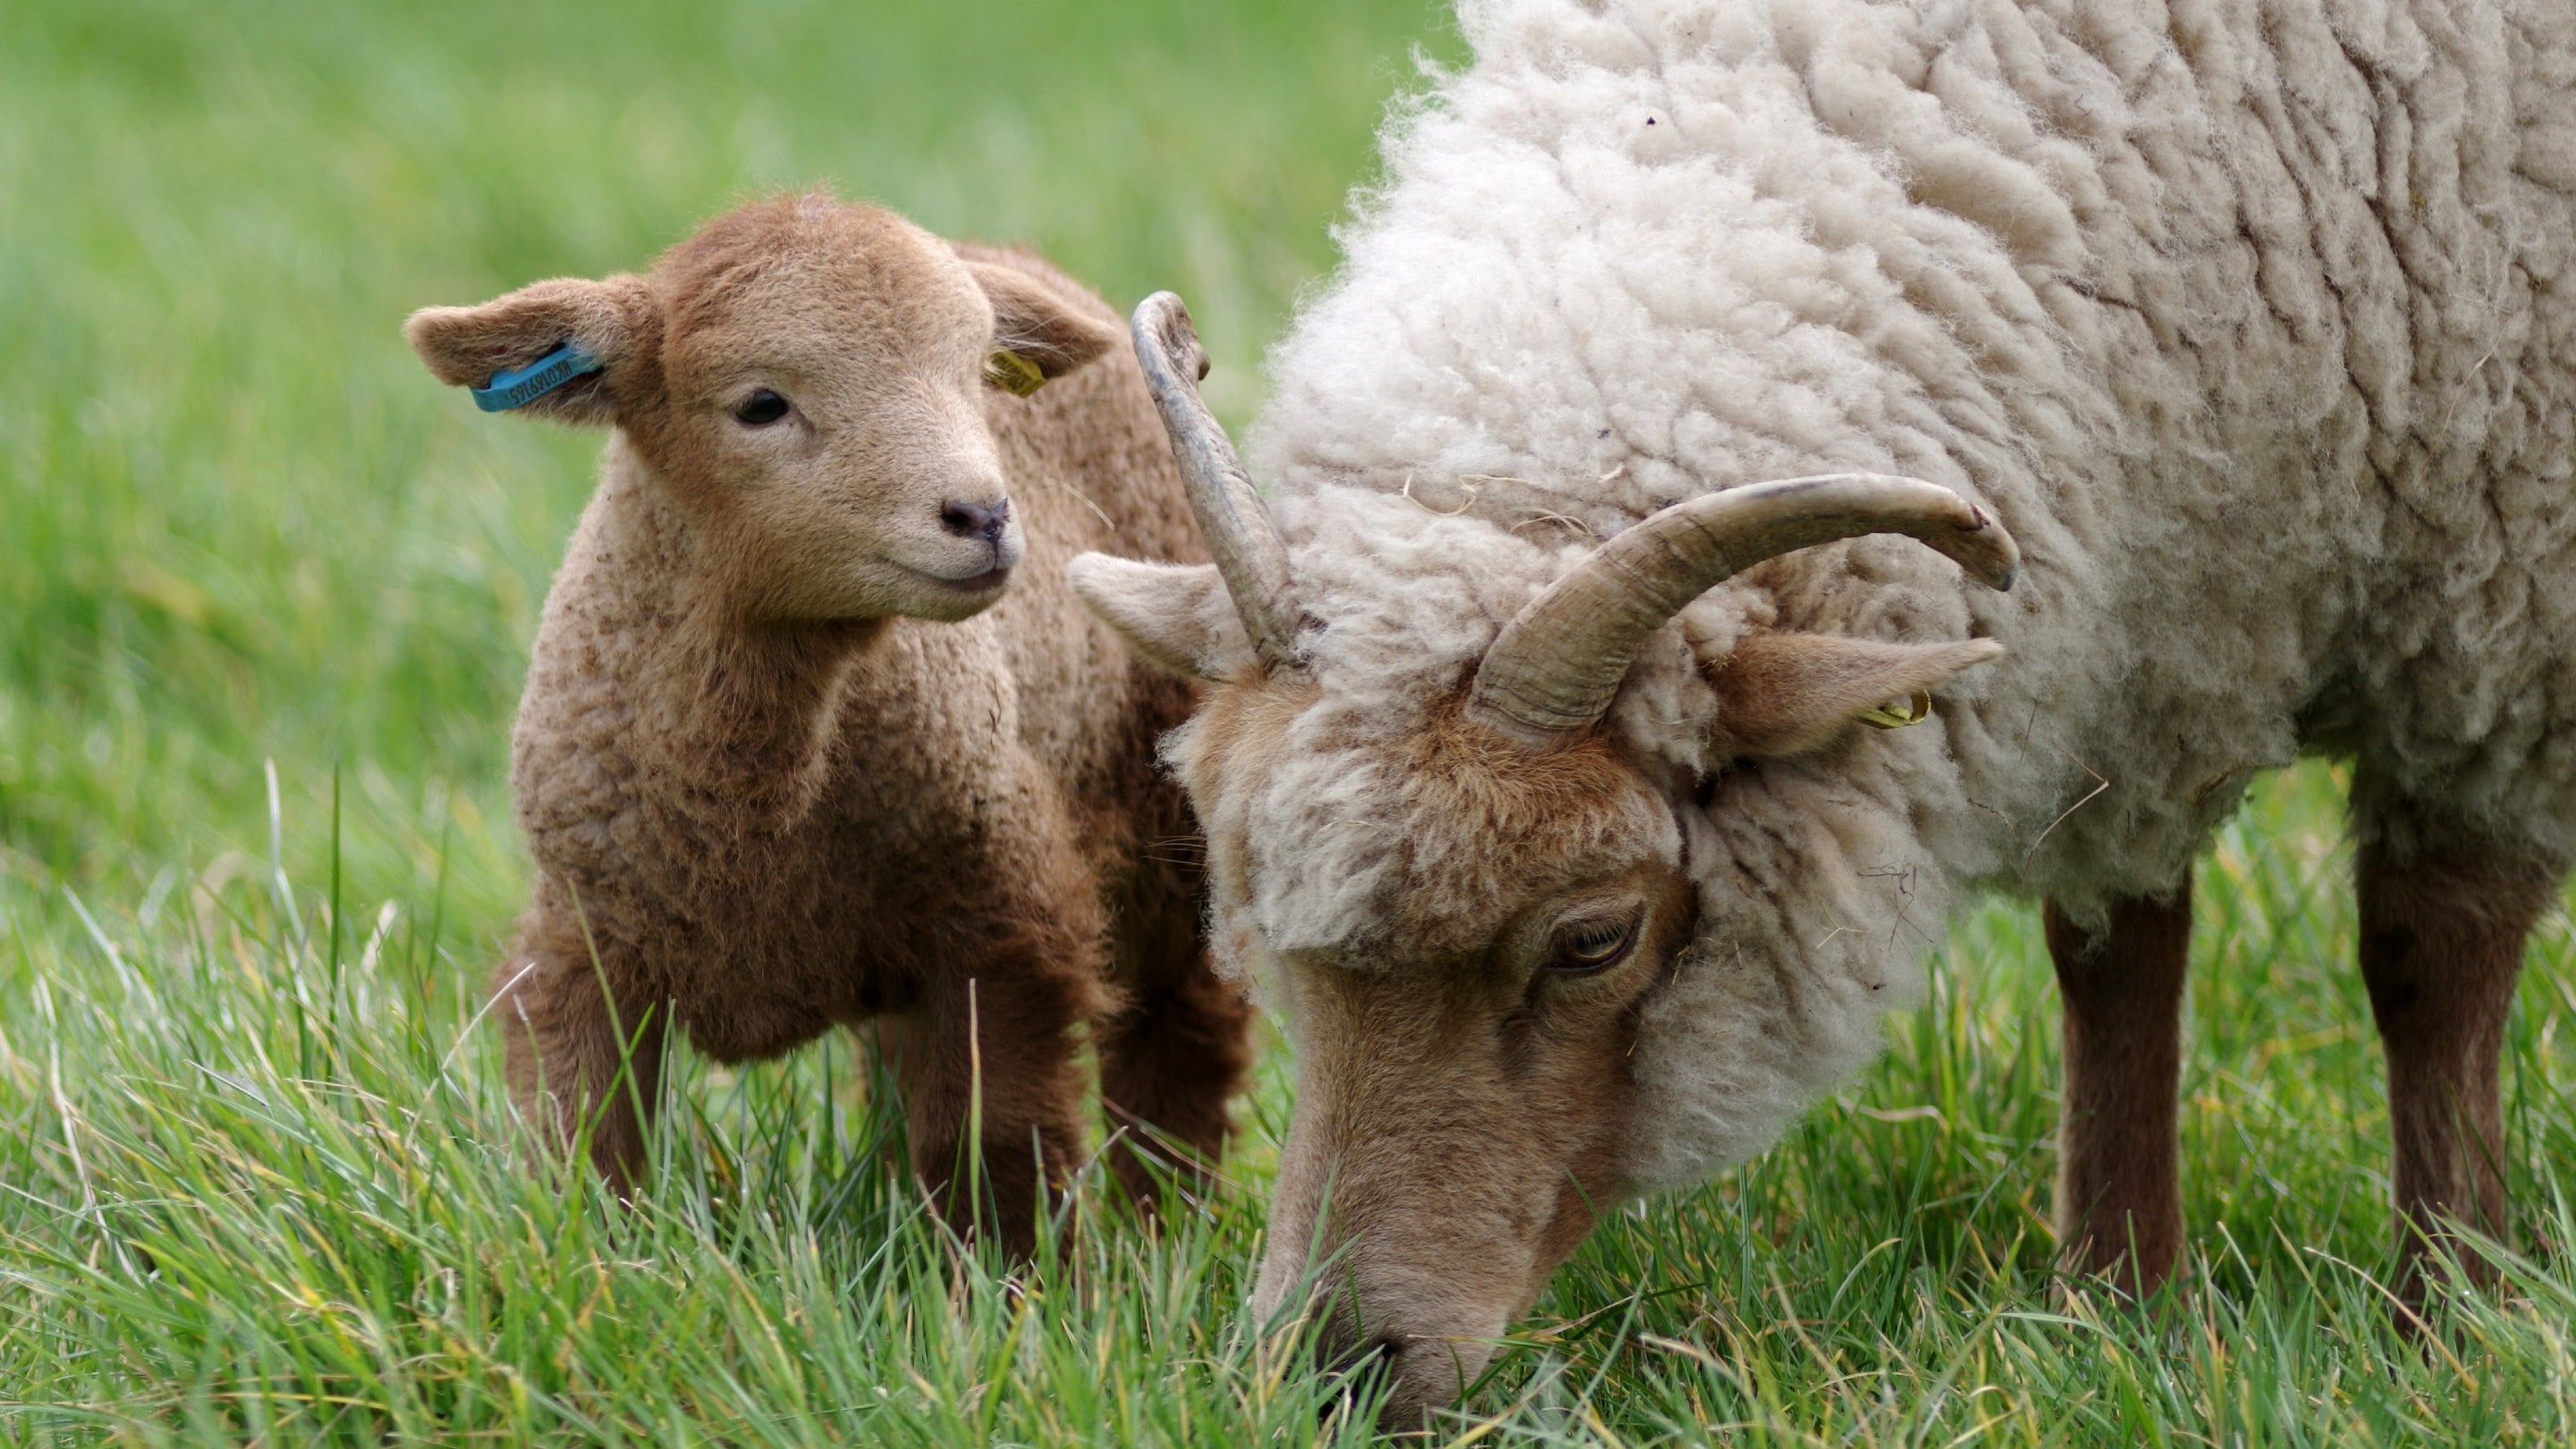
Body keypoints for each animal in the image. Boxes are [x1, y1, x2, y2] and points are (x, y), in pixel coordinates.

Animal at [406, 193, 1250, 1254]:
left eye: (977, 379)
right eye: (761, 405)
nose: (984, 515)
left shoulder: (1010, 920)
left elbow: (995, 1153)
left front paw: (1013, 1290)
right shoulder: (581, 947)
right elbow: (580, 1150)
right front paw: (584, 1266)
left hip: (1158, 810)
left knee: (1177, 1038)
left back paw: (1167, 1234)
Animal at [1070, 0, 2576, 1416]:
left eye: (1594, 940)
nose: (1331, 1375)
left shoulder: (2496, 596)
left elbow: (2431, 955)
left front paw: (2449, 1318)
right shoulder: (2151, 633)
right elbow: (2117, 956)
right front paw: (2119, 1307)